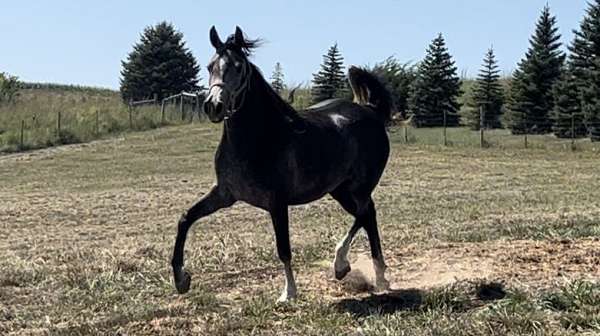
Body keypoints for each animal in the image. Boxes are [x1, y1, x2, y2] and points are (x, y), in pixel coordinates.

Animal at [171, 27, 392, 304]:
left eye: (239, 68)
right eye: (210, 66)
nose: (214, 106)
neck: (258, 138)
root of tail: (371, 112)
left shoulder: (277, 202)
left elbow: (283, 249)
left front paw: (288, 293)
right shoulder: (224, 195)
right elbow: (185, 219)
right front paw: (181, 280)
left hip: (358, 189)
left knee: (367, 214)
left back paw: (357, 269)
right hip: (340, 190)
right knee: (367, 216)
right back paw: (362, 271)